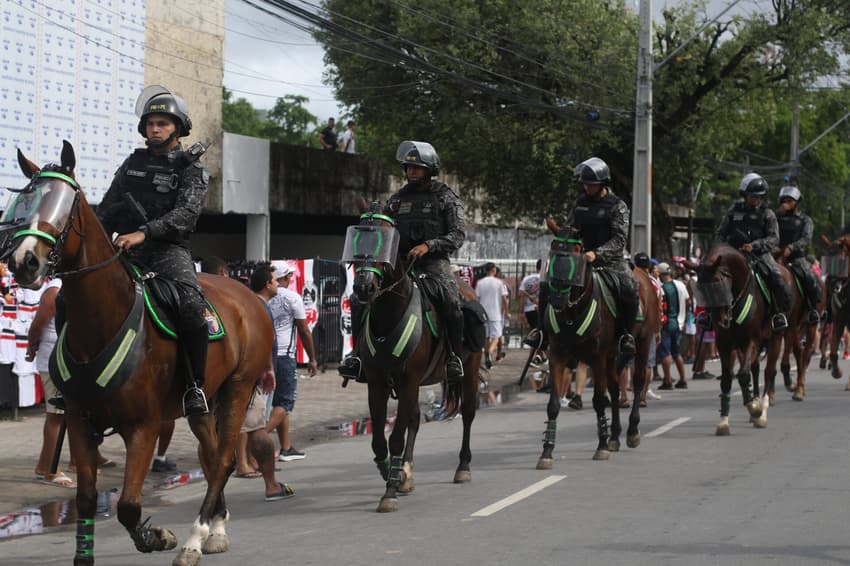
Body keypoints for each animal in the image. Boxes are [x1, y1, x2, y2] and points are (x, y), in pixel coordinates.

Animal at [1, 143, 268, 566]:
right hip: (202, 403)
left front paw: (157, 536)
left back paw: (194, 540)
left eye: (65, 204)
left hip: (238, 389)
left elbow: (127, 505)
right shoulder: (79, 421)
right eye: (24, 201)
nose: (23, 261)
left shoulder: (144, 426)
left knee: (223, 459)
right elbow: (87, 499)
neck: (102, 321)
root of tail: (249, 297)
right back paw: (215, 531)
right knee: (212, 459)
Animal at [342, 203, 476, 516]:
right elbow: (380, 440)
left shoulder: (408, 381)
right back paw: (406, 472)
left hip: (471, 368)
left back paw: (463, 466)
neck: (388, 313)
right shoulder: (378, 383)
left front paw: (389, 491)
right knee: (414, 419)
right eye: (358, 239)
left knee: (467, 413)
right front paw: (391, 473)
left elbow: (394, 437)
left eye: (386, 241)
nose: (363, 288)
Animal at [536, 219, 656, 470]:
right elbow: (553, 404)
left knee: (638, 380)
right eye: (553, 251)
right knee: (614, 386)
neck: (572, 311)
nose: (557, 298)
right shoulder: (558, 356)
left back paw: (632, 431)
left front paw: (601, 446)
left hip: (643, 342)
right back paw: (614, 435)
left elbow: (600, 401)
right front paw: (547, 451)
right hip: (612, 356)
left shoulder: (597, 358)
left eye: (577, 253)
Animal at [692, 244, 780, 434]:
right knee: (755, 369)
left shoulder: (751, 340)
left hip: (775, 339)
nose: (721, 321)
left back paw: (762, 413)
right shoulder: (724, 344)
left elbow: (743, 375)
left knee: (769, 372)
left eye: (719, 283)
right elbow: (727, 379)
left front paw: (755, 409)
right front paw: (724, 422)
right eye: (701, 290)